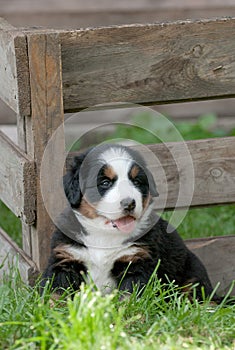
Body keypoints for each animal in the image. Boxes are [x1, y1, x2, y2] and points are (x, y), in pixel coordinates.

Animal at [40, 144, 222, 302]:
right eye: (105, 182)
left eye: (136, 181)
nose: (129, 203)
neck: (104, 235)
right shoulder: (65, 260)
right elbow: (56, 292)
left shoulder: (137, 262)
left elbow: (130, 298)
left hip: (191, 274)